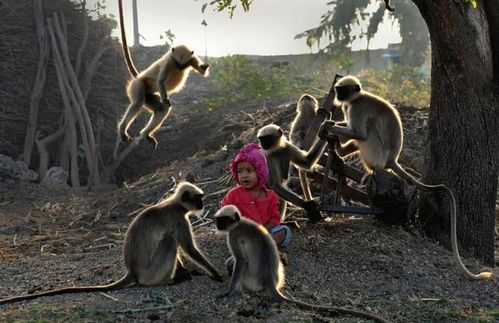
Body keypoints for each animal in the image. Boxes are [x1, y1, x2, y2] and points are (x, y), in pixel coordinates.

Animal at [0, 182, 223, 306]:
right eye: (198, 198)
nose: (202, 204)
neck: (175, 204)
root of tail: (132, 270)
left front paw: (187, 270)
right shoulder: (178, 219)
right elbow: (188, 248)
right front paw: (216, 274)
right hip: (151, 271)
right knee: (169, 240)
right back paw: (169, 280)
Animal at [118, 0, 210, 148]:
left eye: (182, 65)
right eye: (177, 63)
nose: (179, 67)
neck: (177, 63)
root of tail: (138, 76)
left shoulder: (191, 59)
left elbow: (202, 72)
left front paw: (204, 67)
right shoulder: (169, 62)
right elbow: (161, 81)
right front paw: (166, 98)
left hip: (150, 94)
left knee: (161, 109)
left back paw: (146, 134)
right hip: (138, 85)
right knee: (139, 102)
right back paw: (122, 129)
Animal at [215, 206, 390, 322]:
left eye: (221, 220)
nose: (216, 225)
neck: (240, 223)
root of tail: (269, 281)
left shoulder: (233, 235)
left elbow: (241, 260)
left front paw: (229, 292)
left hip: (249, 279)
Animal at [320, 75, 492, 280]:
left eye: (342, 90)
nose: (338, 95)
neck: (356, 98)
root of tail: (392, 159)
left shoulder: (356, 108)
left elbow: (358, 133)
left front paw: (327, 125)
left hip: (376, 152)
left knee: (367, 132)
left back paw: (351, 156)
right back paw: (339, 150)